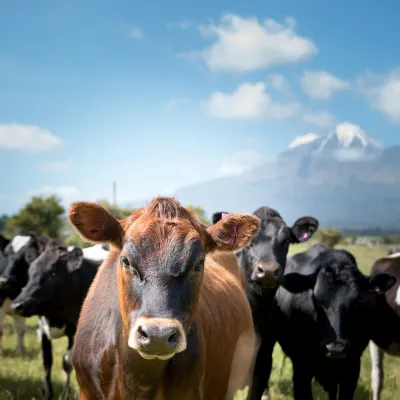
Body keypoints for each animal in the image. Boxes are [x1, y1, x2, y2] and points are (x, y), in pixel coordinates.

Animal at [11, 239, 107, 398]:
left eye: (53, 273)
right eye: (30, 272)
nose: (18, 305)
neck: (55, 317)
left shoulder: (75, 331)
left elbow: (67, 362)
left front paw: (65, 394)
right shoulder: (42, 330)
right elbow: (46, 360)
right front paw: (47, 393)